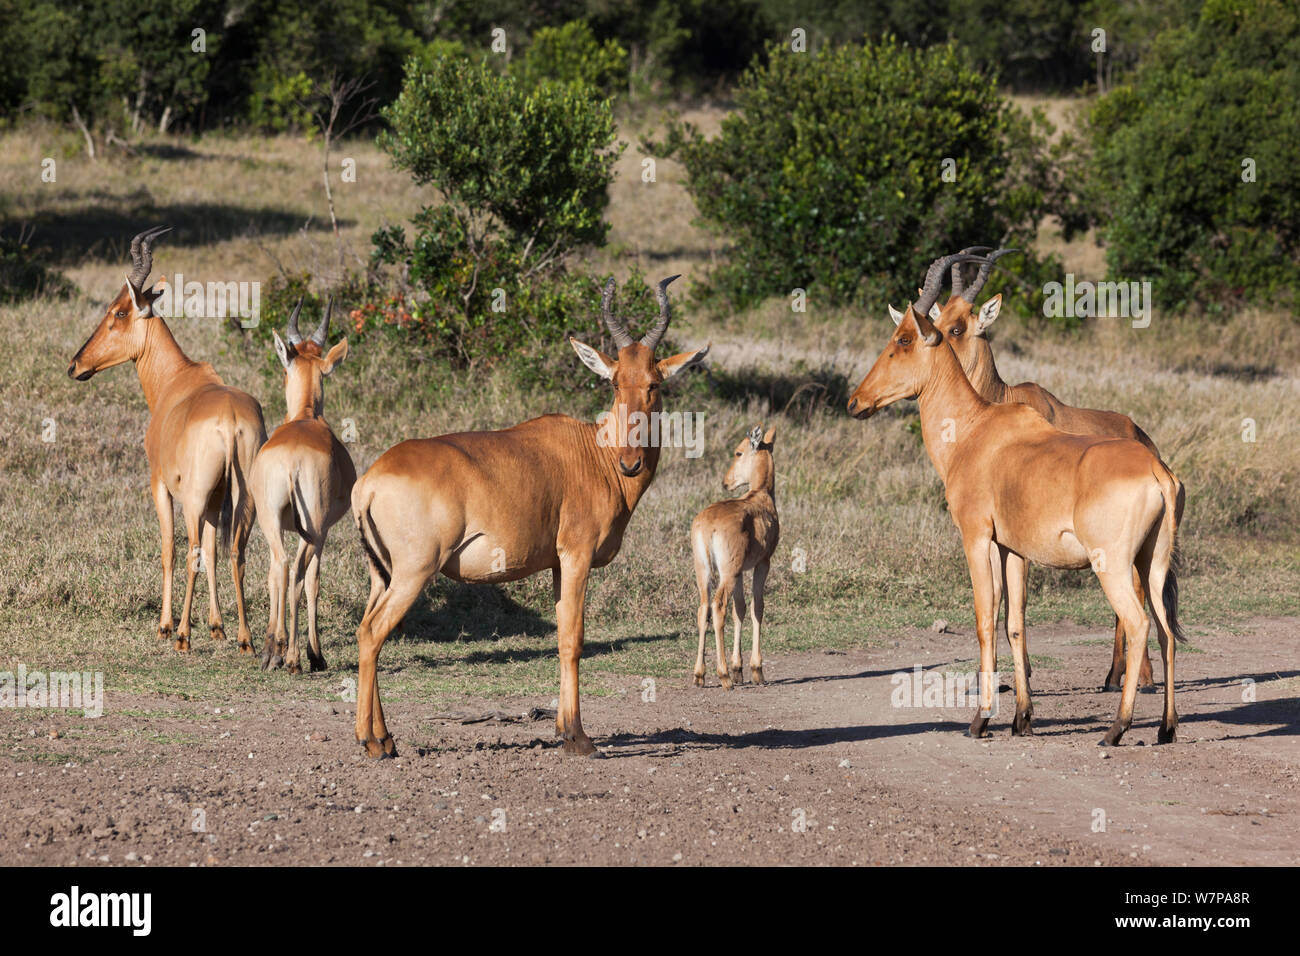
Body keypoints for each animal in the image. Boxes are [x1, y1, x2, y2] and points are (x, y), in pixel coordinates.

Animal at [69, 227, 269, 655]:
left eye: (119, 312)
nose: (76, 365)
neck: (179, 380)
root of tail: (229, 419)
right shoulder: (216, 499)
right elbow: (212, 551)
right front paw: (217, 627)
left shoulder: (161, 485)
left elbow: (169, 550)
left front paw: (166, 626)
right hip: (245, 497)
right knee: (234, 551)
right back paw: (245, 639)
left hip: (193, 497)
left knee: (191, 549)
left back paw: (181, 635)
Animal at [249, 299, 356, 671]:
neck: (306, 416)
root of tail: (292, 460)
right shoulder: (321, 532)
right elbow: (313, 582)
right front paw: (315, 653)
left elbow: (271, 574)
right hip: (314, 527)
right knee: (296, 573)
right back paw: (295, 656)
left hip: (269, 518)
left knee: (279, 566)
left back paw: (272, 650)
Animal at [348, 280, 712, 759]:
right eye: (615, 382)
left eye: (654, 383)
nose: (631, 463)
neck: (592, 452)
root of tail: (369, 481)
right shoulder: (576, 556)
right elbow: (573, 639)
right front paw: (579, 738)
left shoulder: (558, 564)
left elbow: (560, 636)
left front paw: (562, 730)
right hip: (414, 572)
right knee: (374, 632)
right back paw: (372, 741)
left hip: (383, 574)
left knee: (364, 629)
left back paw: (385, 737)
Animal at [696, 424, 774, 686]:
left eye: (738, 452)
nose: (726, 482)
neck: (760, 495)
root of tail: (708, 524)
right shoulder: (763, 563)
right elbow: (757, 606)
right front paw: (756, 670)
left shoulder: (740, 570)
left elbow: (739, 609)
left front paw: (739, 668)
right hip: (726, 573)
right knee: (718, 606)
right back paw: (723, 676)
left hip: (704, 570)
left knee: (704, 608)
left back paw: (699, 674)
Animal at [847, 254, 1185, 749]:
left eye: (904, 339)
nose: (856, 402)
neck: (977, 429)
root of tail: (1156, 468)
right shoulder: (1012, 549)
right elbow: (1015, 623)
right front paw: (1022, 717)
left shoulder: (977, 538)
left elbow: (985, 618)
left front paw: (981, 720)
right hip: (1152, 562)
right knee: (1165, 630)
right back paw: (1165, 727)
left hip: (1112, 565)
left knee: (1138, 622)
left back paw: (1116, 728)